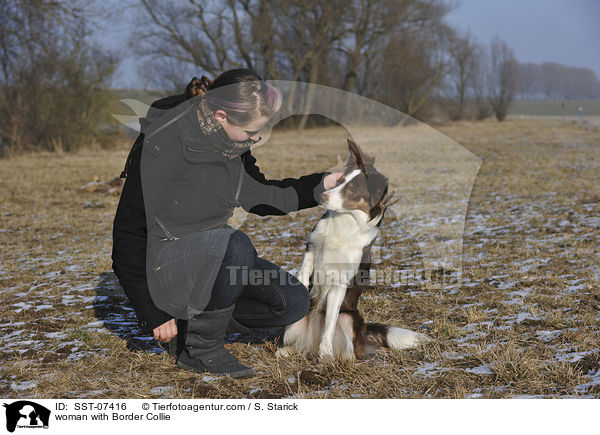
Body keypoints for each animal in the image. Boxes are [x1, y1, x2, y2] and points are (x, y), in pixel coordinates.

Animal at [276, 140, 426, 362]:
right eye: (340, 181)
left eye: (353, 190)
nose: (321, 195)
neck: (345, 221)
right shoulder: (312, 246)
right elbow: (303, 273)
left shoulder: (340, 282)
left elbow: (329, 324)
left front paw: (326, 354)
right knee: (303, 343)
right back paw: (289, 350)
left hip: (348, 318)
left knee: (349, 348)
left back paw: (341, 357)